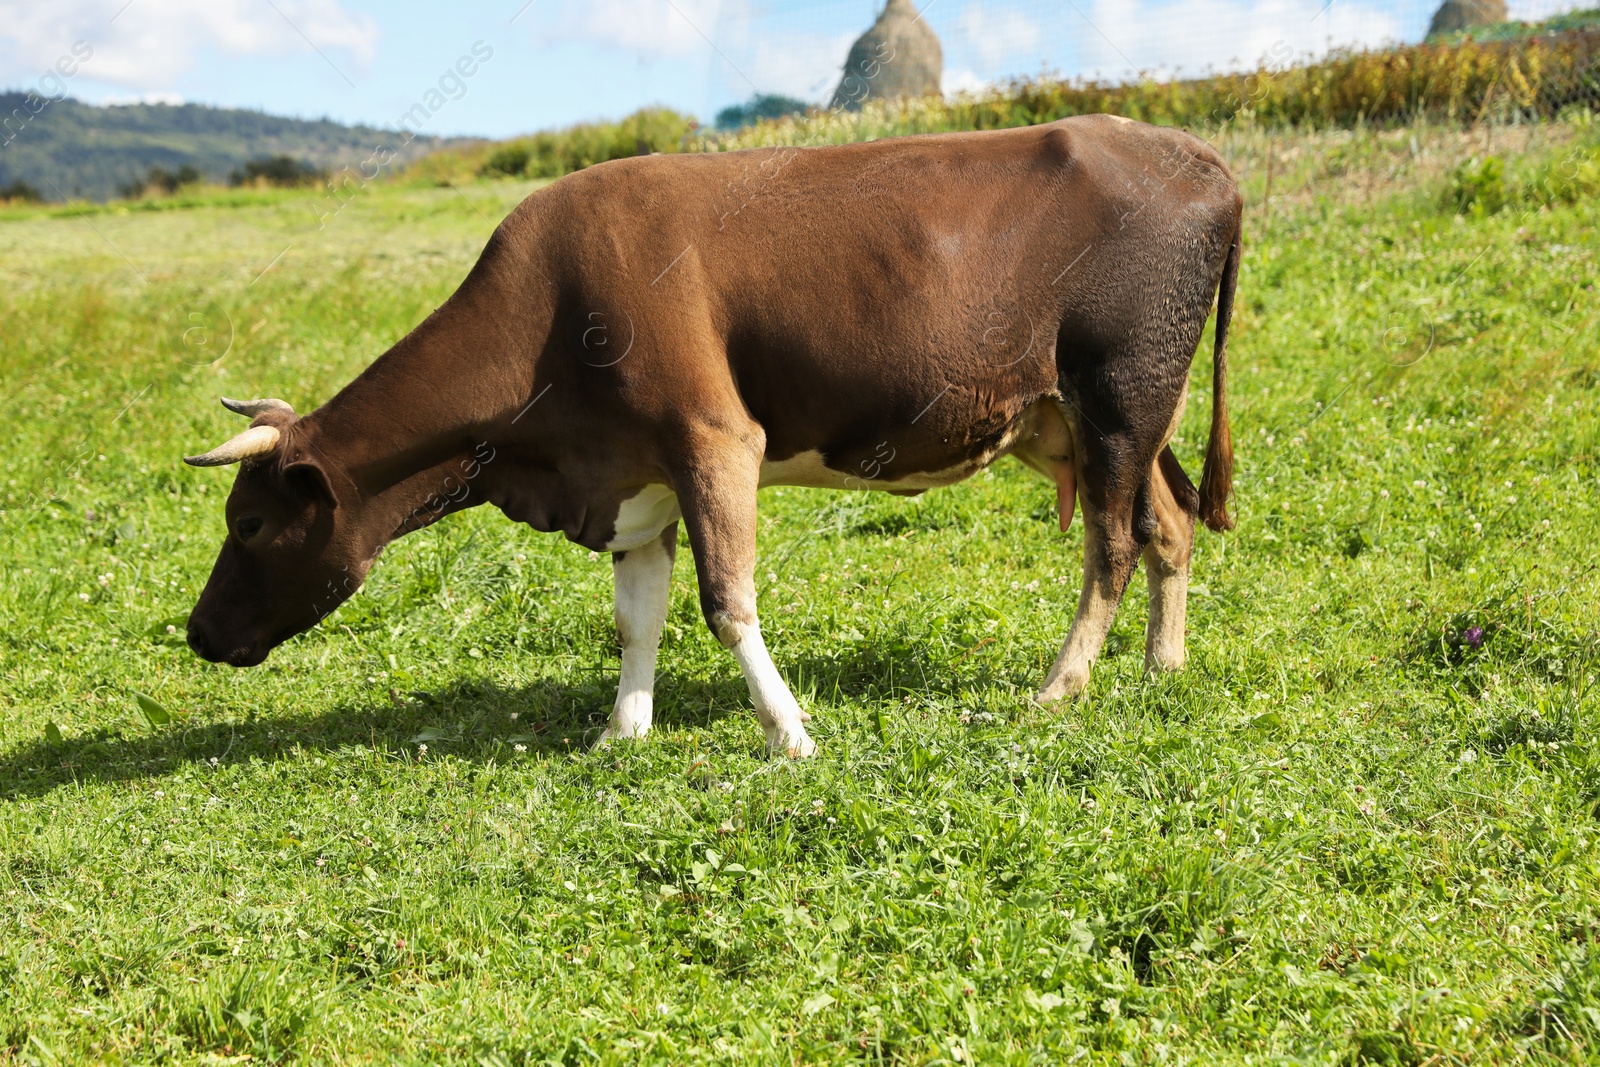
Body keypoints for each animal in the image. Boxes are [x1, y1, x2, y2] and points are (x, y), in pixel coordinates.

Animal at [184, 112, 1235, 755]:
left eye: (247, 524)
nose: (195, 632)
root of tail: (1192, 153)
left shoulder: (714, 439)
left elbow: (726, 600)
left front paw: (790, 732)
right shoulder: (632, 476)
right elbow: (635, 615)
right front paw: (622, 731)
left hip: (1118, 392)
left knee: (1110, 544)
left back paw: (1060, 687)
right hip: (1114, 415)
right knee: (1168, 526)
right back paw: (1162, 666)